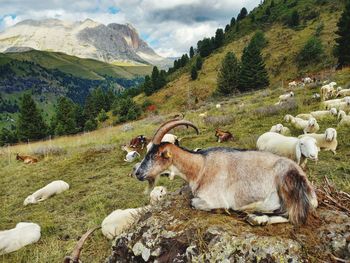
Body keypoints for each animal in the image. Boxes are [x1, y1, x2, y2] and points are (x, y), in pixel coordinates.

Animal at [133, 120, 318, 226]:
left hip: (287, 185)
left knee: (295, 216)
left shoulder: (214, 199)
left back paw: (256, 218)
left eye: (155, 155)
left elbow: (193, 202)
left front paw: (224, 210)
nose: (138, 173)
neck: (201, 167)